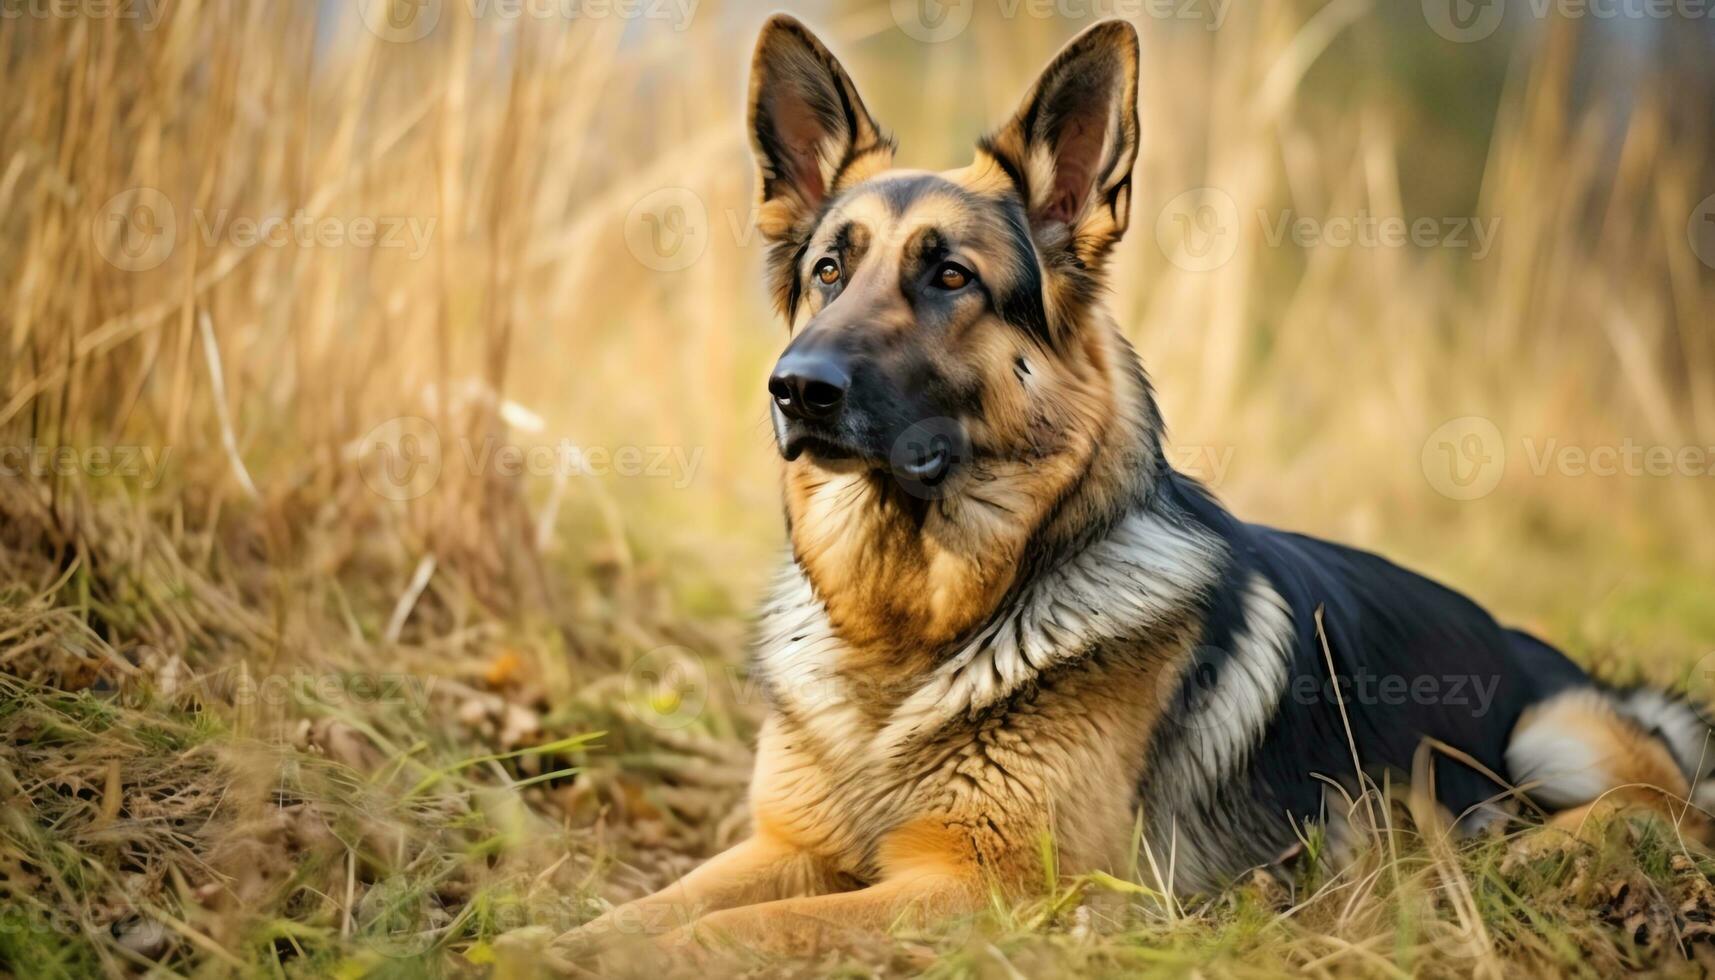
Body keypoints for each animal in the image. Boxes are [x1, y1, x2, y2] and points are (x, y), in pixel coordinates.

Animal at [569, 13, 1708, 967]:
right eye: (826, 271)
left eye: (950, 277)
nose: (796, 388)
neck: (913, 631)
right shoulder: (780, 842)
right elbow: (655, 905)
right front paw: (560, 934)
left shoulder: (989, 887)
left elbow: (749, 927)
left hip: (1550, 731)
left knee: (1657, 812)